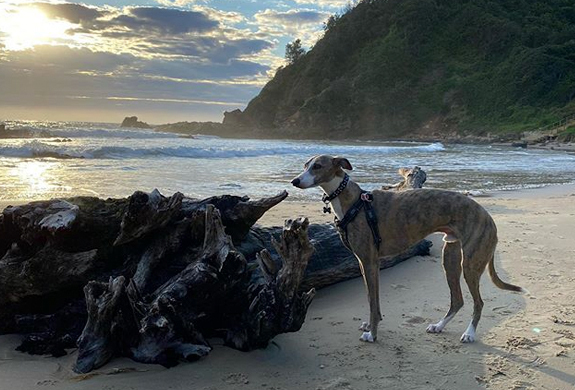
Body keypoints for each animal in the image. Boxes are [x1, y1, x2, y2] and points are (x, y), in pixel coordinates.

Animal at [290, 155, 524, 344]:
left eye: (318, 166)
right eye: (305, 165)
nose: (295, 181)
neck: (354, 202)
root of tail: (488, 217)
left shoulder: (370, 261)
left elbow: (373, 302)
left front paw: (372, 334)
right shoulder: (364, 264)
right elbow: (371, 299)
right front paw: (370, 325)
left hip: (470, 264)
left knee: (479, 302)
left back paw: (469, 334)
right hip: (450, 257)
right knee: (457, 300)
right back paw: (439, 326)